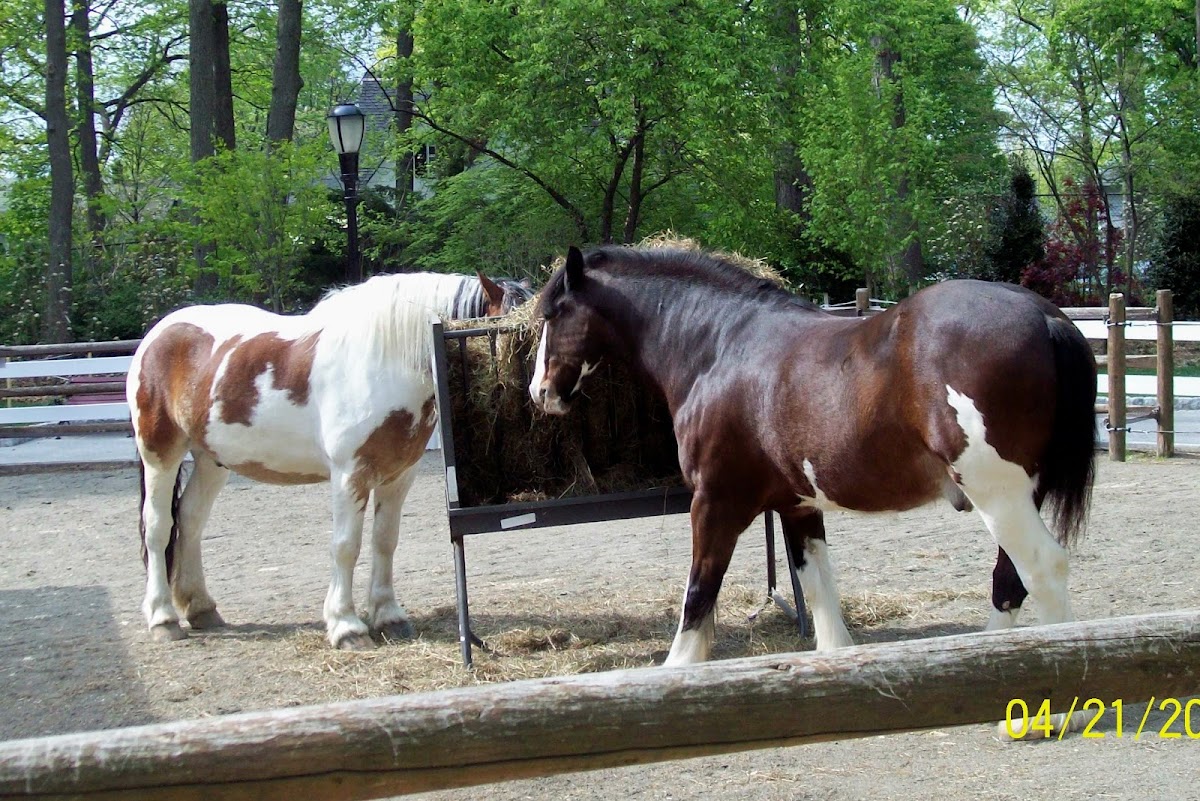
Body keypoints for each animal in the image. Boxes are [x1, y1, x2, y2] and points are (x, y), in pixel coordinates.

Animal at [127, 272, 535, 647]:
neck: (383, 361)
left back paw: (200, 608)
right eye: (513, 334)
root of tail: (157, 335)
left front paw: (388, 616)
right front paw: (346, 626)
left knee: (191, 521)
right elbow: (345, 546)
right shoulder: (349, 475)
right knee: (159, 526)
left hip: (211, 460)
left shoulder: (398, 476)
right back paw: (163, 618)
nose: (536, 393)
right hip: (161, 454)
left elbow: (385, 540)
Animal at [530, 244, 1094, 676]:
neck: (719, 347)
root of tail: (1046, 317)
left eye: (553, 314)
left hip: (998, 496)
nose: (540, 392)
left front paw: (678, 668)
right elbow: (818, 585)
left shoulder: (714, 502)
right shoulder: (798, 505)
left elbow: (699, 589)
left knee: (1041, 568)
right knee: (1010, 579)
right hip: (1018, 497)